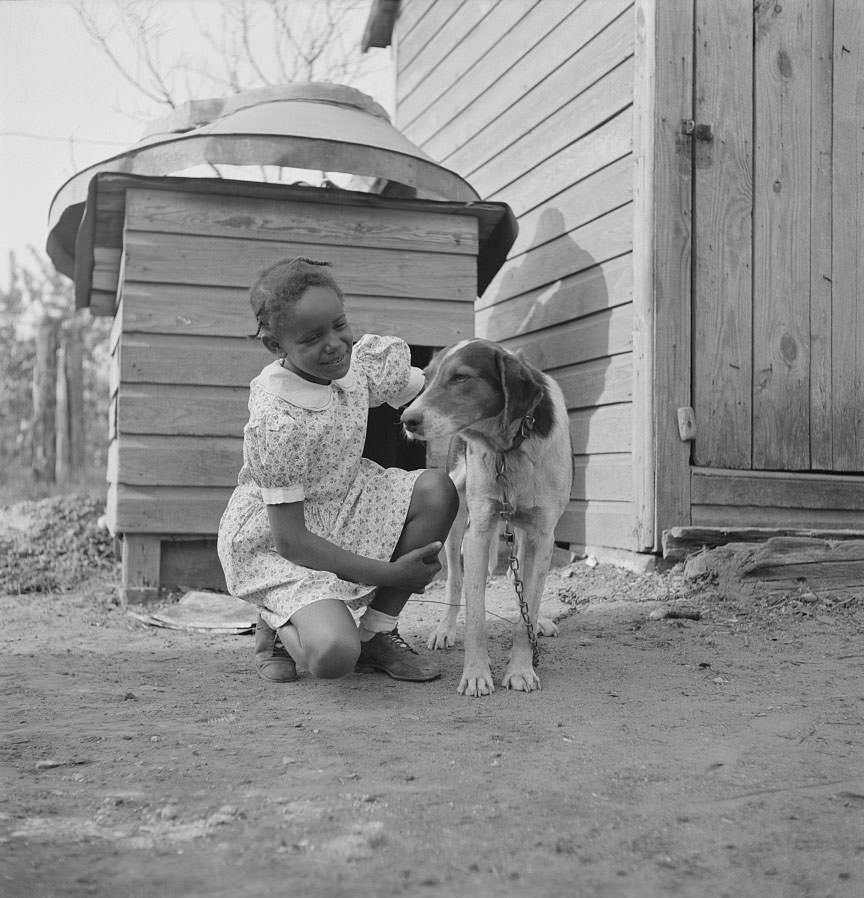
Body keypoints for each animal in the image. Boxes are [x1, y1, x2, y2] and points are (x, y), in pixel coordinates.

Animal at [400, 336, 572, 692]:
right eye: (427, 377)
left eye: (461, 377)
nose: (407, 420)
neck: (509, 447)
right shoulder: (477, 533)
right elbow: (476, 616)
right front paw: (477, 673)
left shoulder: (542, 537)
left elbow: (528, 607)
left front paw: (521, 669)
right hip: (455, 525)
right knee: (454, 582)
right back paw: (445, 629)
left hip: (523, 533)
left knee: (519, 586)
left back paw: (539, 623)